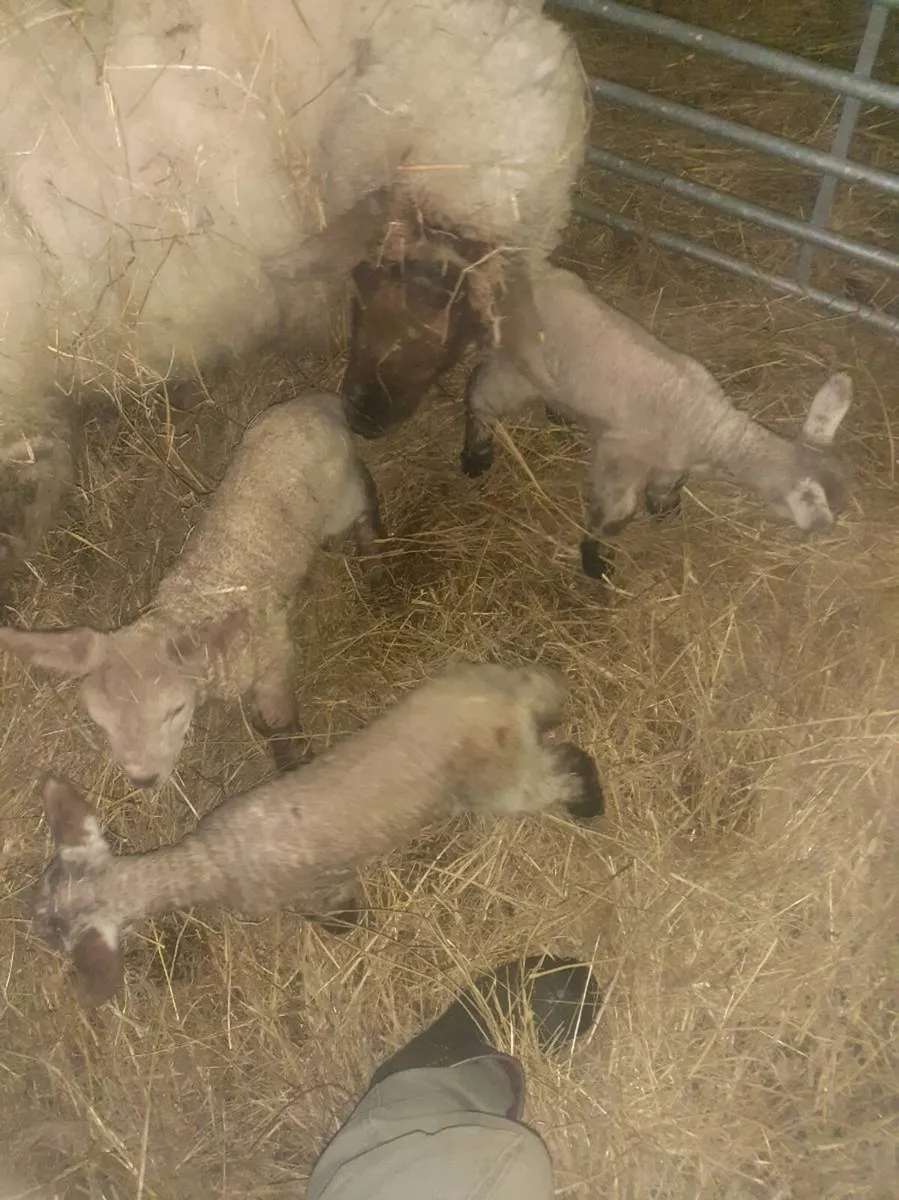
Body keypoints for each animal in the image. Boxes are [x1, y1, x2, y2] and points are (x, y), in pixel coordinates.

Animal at [0, 391, 385, 787]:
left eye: (174, 711)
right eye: (101, 723)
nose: (143, 780)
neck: (187, 606)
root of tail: (319, 402)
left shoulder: (274, 661)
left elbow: (282, 723)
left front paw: (293, 765)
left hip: (340, 499)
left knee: (364, 494)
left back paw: (374, 554)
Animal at [31, 660, 605, 1008]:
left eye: (54, 934)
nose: (30, 925)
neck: (207, 861)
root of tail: (505, 696)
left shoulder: (317, 891)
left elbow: (339, 919)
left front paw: (347, 928)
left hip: (501, 783)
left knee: (567, 770)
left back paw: (591, 804)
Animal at [460, 263, 854, 579]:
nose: (825, 532)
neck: (710, 427)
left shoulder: (672, 460)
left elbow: (667, 486)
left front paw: (665, 511)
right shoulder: (620, 458)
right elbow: (615, 514)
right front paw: (595, 560)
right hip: (517, 371)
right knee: (480, 392)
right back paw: (475, 455)